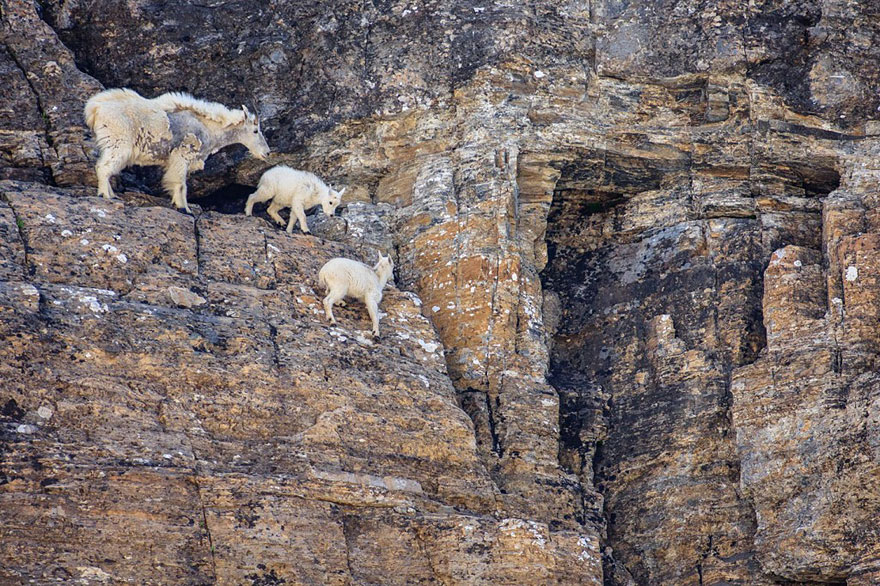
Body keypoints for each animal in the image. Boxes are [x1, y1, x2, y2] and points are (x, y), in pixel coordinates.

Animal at [84, 88, 270, 213]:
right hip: (119, 143)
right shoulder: (182, 156)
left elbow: (177, 182)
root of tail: (95, 108)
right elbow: (181, 184)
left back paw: (112, 194)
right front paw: (184, 208)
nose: (267, 153)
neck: (208, 128)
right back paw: (105, 195)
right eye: (255, 130)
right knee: (104, 167)